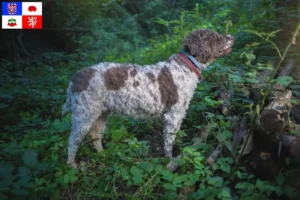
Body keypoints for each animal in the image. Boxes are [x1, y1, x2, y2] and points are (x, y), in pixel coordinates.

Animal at [61, 28, 234, 169]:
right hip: (84, 115)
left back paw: (103, 155)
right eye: (216, 37)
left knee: (94, 137)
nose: (232, 37)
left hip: (101, 114)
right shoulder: (174, 115)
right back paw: (72, 166)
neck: (184, 67)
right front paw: (170, 161)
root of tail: (75, 78)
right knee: (72, 141)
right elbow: (169, 141)